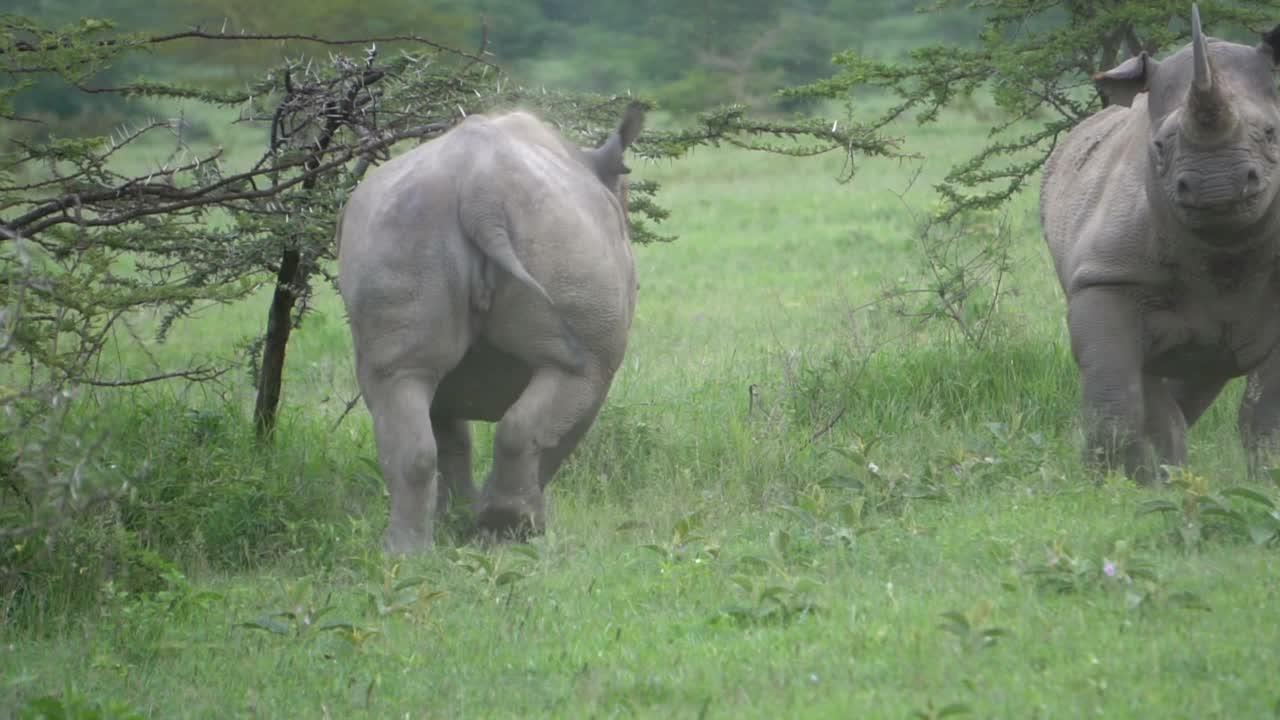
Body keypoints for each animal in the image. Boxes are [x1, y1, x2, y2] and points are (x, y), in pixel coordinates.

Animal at [337, 101, 645, 550]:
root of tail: (479, 193)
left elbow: (451, 438)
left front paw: (457, 516)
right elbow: (559, 438)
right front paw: (494, 521)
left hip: (404, 230)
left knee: (398, 382)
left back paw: (405, 552)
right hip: (560, 231)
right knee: (577, 372)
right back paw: (513, 529)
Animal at [1039, 5, 1280, 481]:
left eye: (1270, 133)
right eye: (1159, 146)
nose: (1216, 185)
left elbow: (1264, 411)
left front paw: (1267, 480)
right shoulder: (1107, 277)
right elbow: (1114, 394)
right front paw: (1112, 487)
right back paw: (1157, 476)